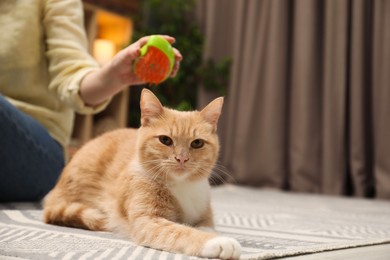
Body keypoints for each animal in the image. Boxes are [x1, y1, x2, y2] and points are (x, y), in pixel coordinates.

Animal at [42, 89, 241, 258]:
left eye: (197, 143)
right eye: (165, 140)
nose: (182, 159)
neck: (181, 185)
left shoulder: (203, 214)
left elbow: (205, 225)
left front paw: (212, 232)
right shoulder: (148, 221)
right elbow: (181, 231)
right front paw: (218, 241)